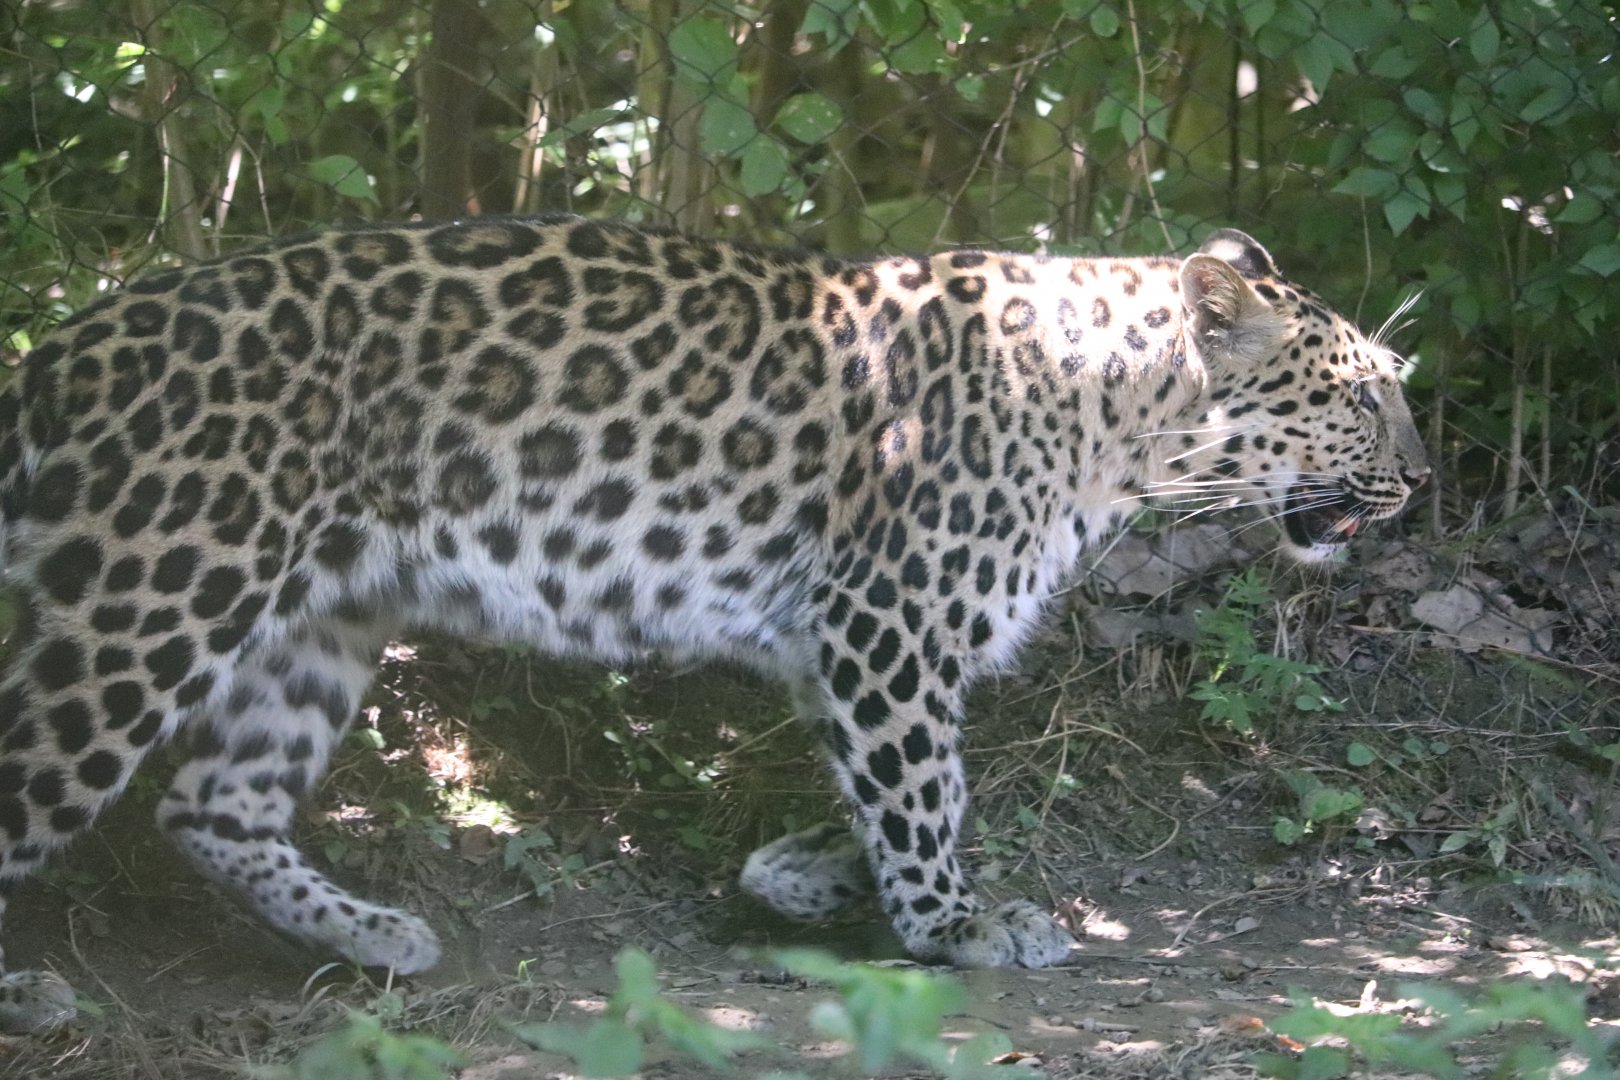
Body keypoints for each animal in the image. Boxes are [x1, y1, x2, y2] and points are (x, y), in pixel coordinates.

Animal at [0, 216, 1427, 1032]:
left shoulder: (837, 639)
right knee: (42, 776)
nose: (1422, 480)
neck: (1122, 426)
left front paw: (797, 876)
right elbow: (927, 788)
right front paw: (953, 924)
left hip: (322, 613)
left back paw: (375, 936)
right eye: (1363, 400)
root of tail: (62, 348)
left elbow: (887, 786)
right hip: (150, 601)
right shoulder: (884, 620)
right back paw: (29, 993)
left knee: (214, 805)